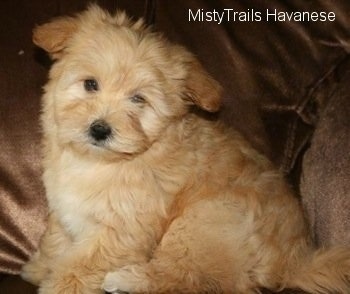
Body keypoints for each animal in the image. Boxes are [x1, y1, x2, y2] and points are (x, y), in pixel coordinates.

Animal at [21, 4, 350, 294]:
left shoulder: (122, 230)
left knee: (190, 277)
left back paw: (127, 279)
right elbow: (56, 242)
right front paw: (39, 268)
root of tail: (293, 262)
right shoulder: (65, 212)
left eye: (138, 99)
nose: (100, 129)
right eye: (90, 84)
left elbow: (82, 264)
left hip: (206, 221)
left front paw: (59, 286)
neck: (102, 162)